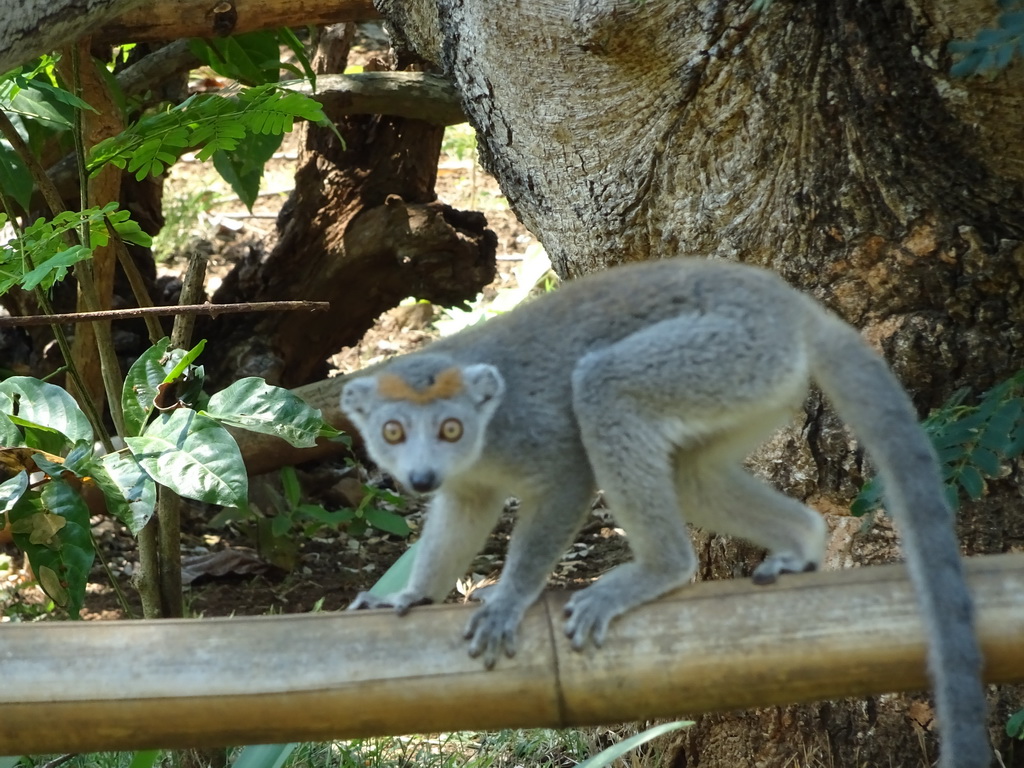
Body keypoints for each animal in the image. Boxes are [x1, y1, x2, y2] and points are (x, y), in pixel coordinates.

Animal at [340, 257, 989, 768]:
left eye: (450, 428)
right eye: (394, 432)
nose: (421, 476)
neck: (485, 434)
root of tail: (787, 304)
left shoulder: (528, 429)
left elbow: (569, 478)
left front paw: (507, 600)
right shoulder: (467, 477)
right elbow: (466, 505)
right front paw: (413, 594)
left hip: (729, 352)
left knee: (605, 387)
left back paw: (661, 569)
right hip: (754, 382)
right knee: (690, 475)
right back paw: (799, 541)